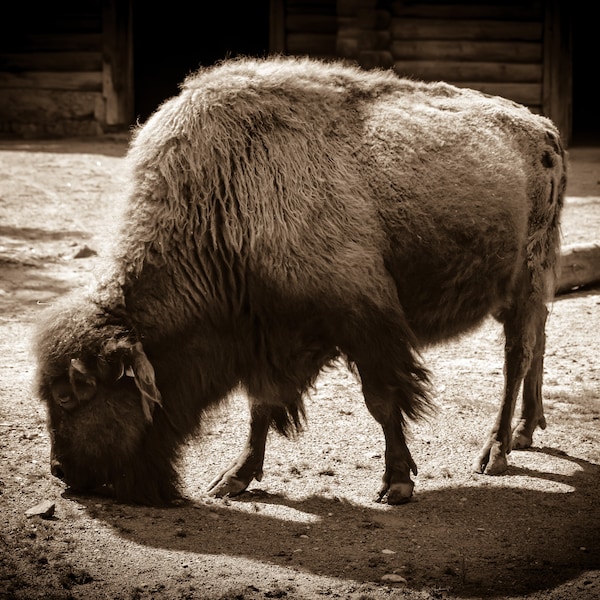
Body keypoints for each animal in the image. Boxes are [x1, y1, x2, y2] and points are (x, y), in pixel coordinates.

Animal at [34, 56, 568, 506]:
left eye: (69, 395)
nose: (61, 471)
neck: (226, 201)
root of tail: (543, 129)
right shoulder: (269, 337)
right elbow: (260, 406)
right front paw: (233, 478)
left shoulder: (364, 321)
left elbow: (381, 400)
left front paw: (396, 483)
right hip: (524, 288)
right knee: (539, 339)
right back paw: (527, 430)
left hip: (525, 280)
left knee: (517, 356)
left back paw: (496, 451)